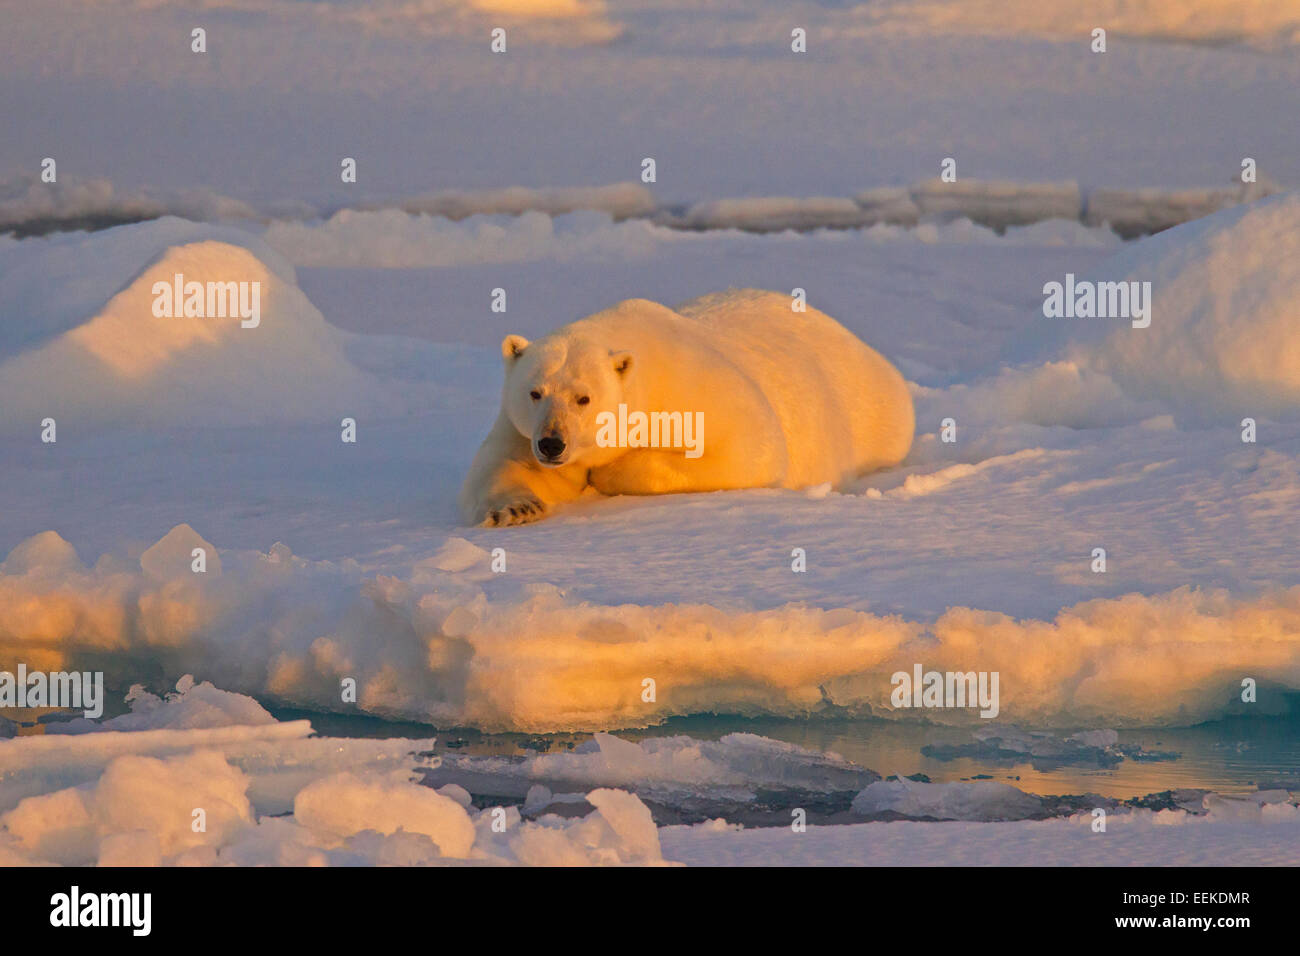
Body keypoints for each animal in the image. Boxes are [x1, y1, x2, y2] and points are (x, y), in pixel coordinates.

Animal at [457, 287, 915, 528]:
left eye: (583, 397)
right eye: (535, 392)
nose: (552, 444)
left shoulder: (691, 386)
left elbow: (749, 449)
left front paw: (609, 471)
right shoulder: (519, 426)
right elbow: (503, 464)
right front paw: (517, 507)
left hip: (872, 411)